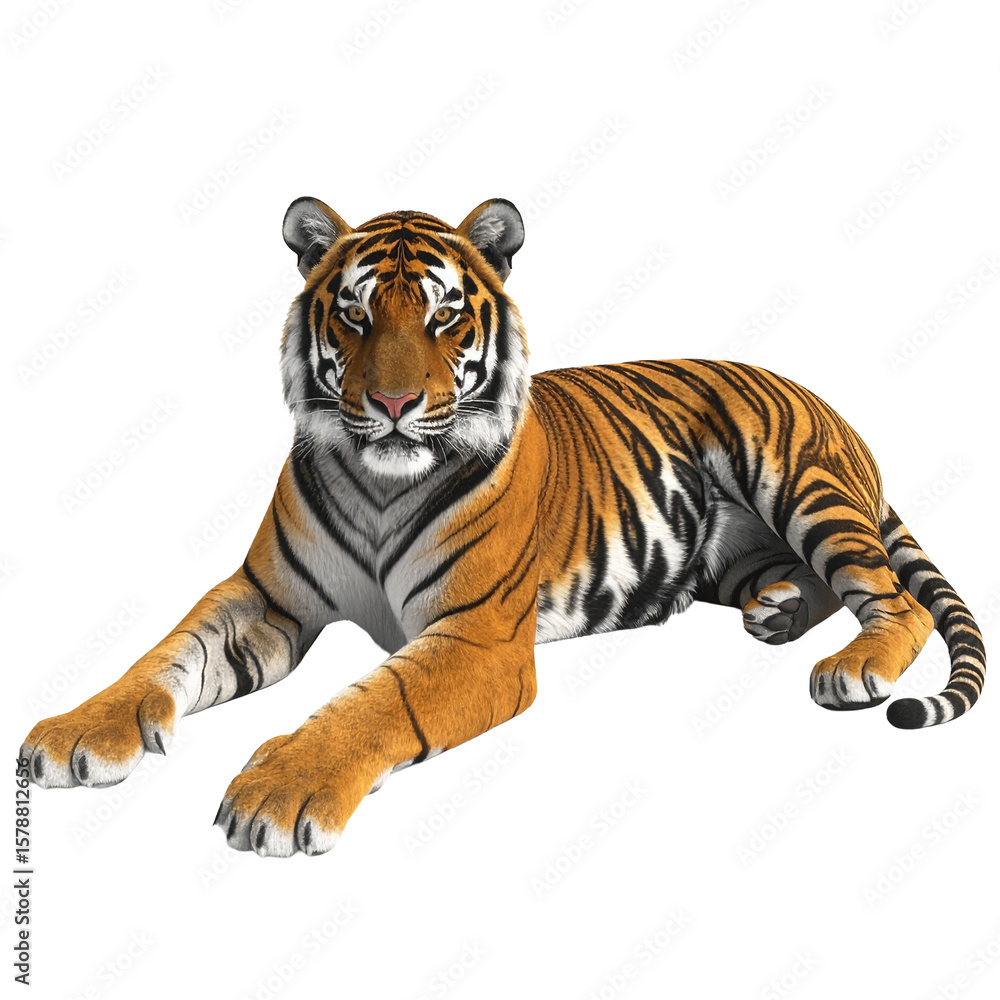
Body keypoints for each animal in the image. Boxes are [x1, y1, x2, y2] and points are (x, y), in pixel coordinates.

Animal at [21, 196, 986, 858]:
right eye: (355, 313)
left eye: (443, 315)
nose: (394, 403)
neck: (378, 483)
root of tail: (828, 406)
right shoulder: (265, 597)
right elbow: (164, 656)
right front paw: (73, 734)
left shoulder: (475, 636)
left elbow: (374, 703)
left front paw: (278, 790)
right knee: (819, 585)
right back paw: (780, 612)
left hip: (799, 479)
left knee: (895, 597)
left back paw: (853, 667)